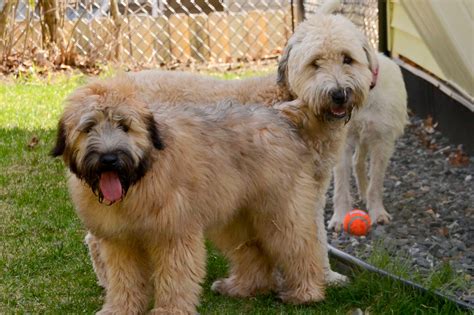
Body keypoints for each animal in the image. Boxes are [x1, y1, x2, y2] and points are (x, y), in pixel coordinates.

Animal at [51, 76, 326, 314]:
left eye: (124, 126)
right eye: (88, 128)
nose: (109, 159)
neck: (140, 178)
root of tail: (278, 115)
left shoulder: (174, 233)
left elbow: (175, 276)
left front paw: (169, 311)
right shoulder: (120, 241)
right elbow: (124, 280)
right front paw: (120, 309)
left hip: (279, 209)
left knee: (299, 246)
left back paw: (306, 292)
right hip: (235, 216)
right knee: (252, 250)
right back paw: (242, 287)